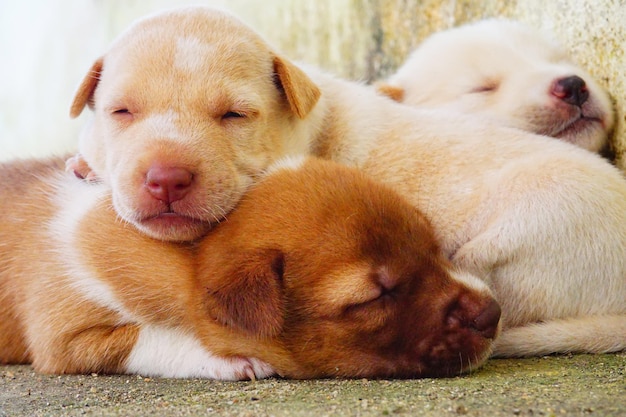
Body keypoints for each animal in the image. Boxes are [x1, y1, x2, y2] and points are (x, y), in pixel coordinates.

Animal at [0, 156, 498, 376]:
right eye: (375, 297)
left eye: (433, 245)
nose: (492, 313)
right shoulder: (63, 339)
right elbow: (147, 336)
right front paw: (234, 360)